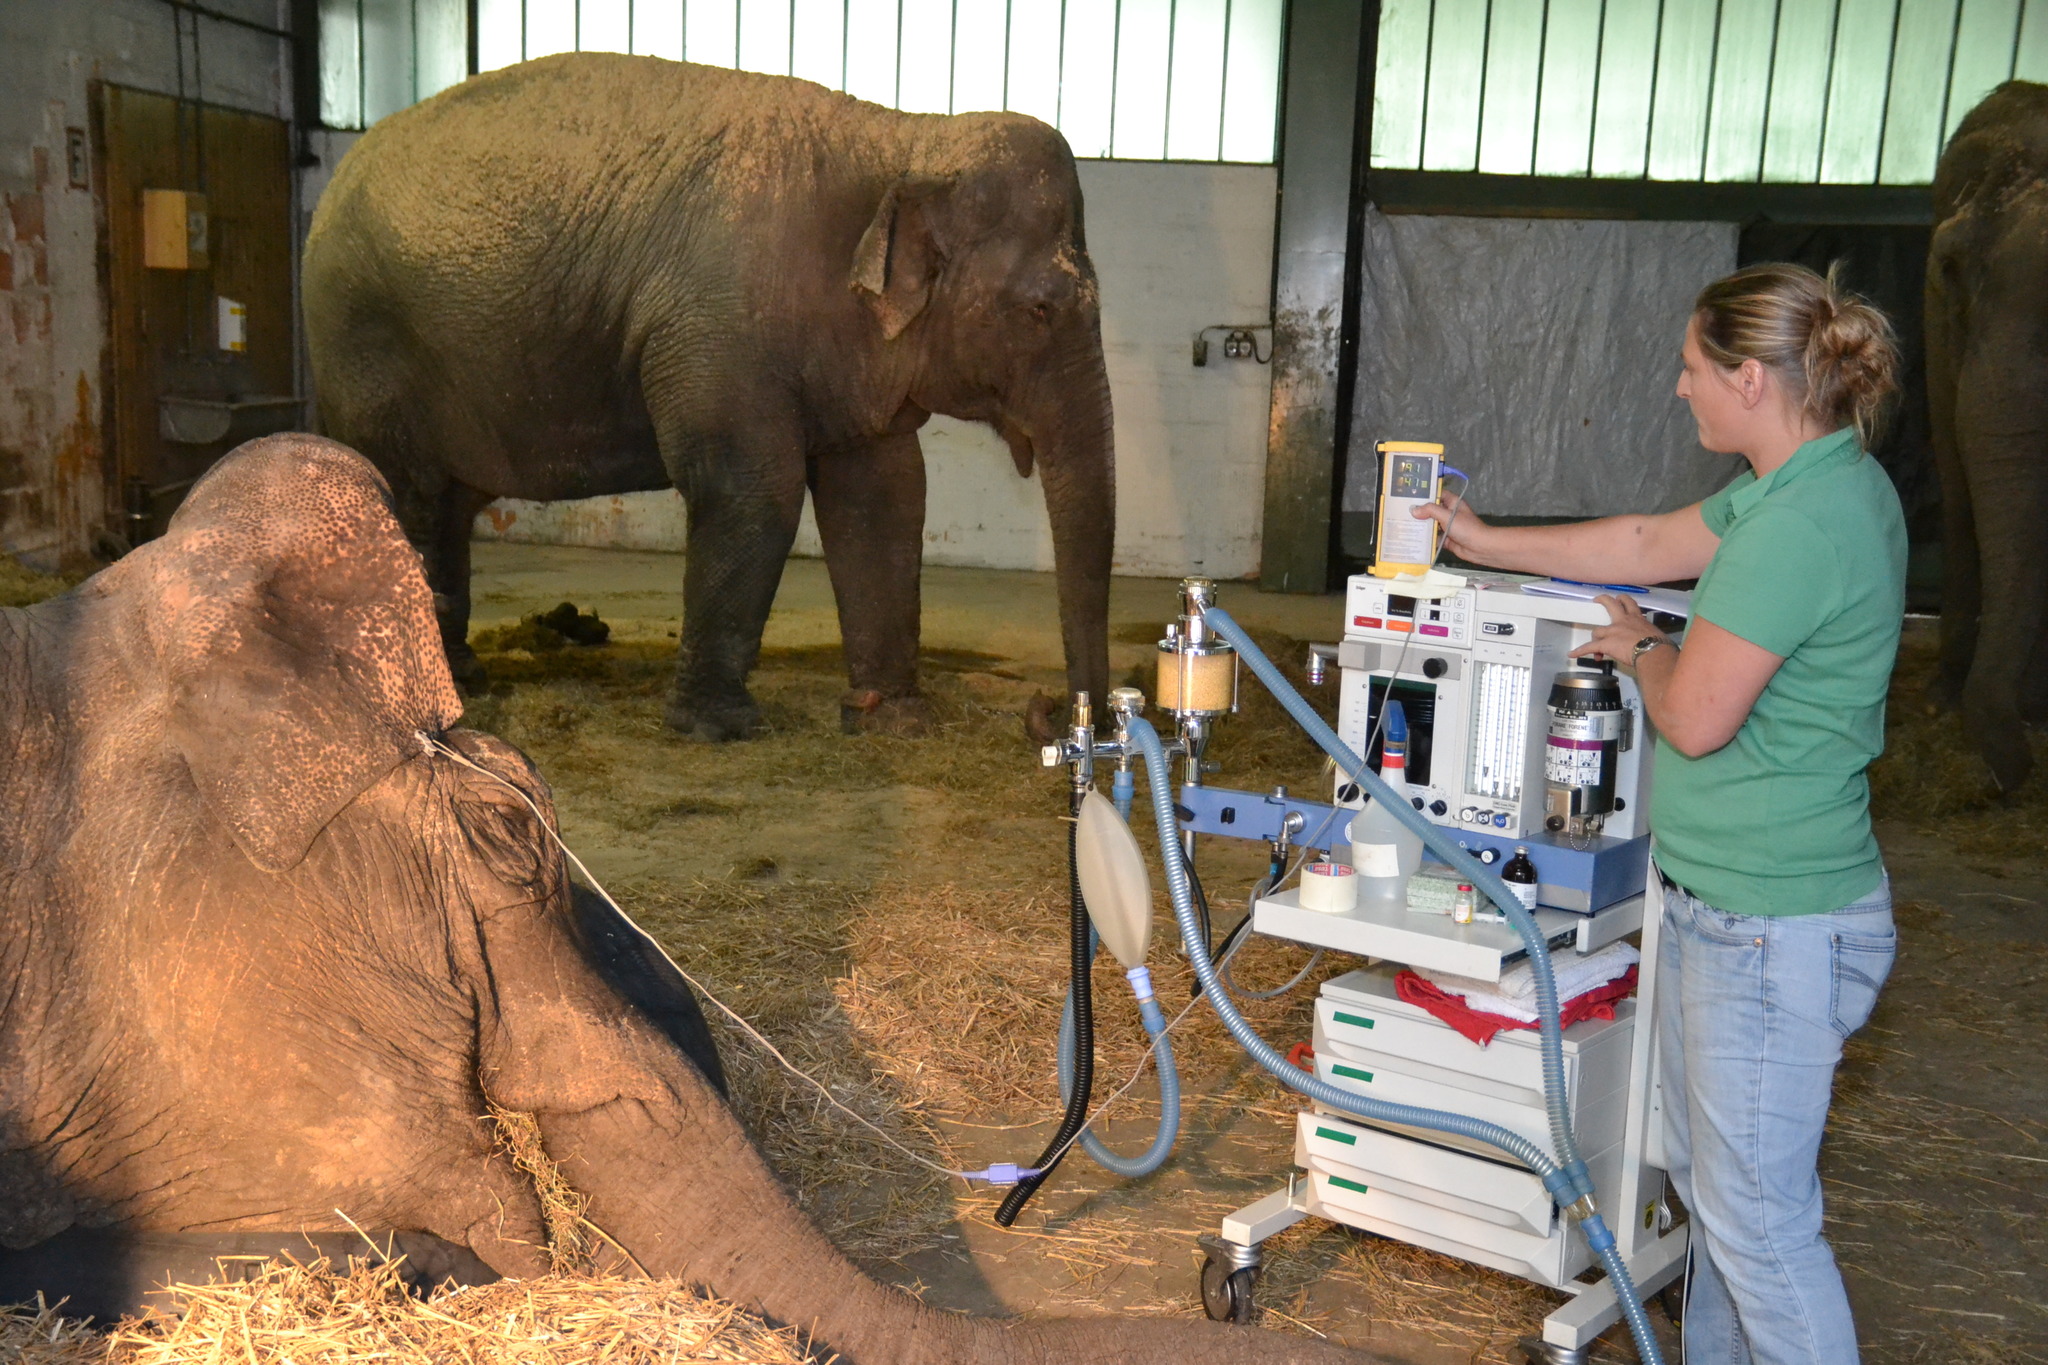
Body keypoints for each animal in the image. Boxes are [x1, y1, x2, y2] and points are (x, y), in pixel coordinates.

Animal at [302, 53, 1114, 741]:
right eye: (1040, 311)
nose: (1067, 718)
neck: (905, 137)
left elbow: (885, 496)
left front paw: (891, 717)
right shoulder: (717, 327)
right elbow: (753, 488)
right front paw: (720, 728)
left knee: (446, 506)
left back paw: (463, 676)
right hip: (365, 346)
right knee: (410, 494)